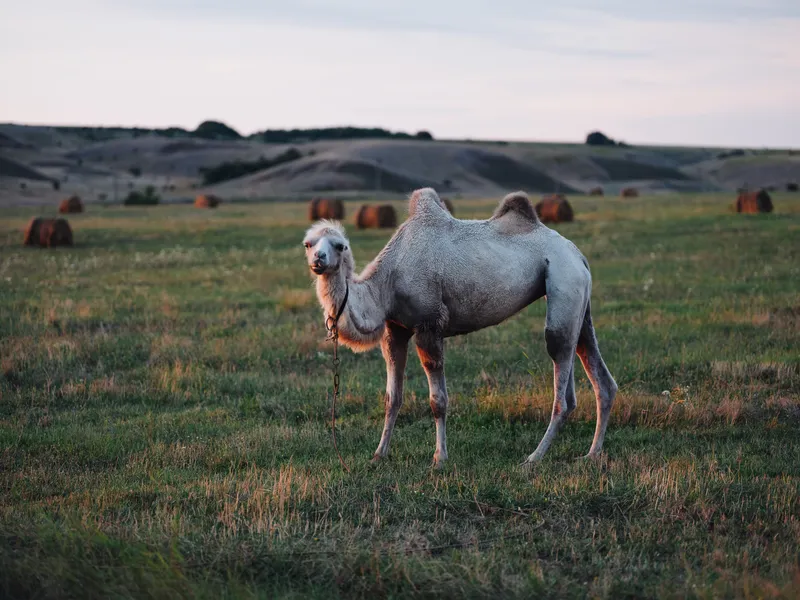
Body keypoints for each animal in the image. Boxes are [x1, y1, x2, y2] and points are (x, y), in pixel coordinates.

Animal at [302, 188, 617, 468]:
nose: (319, 259)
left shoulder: (429, 325)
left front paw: (439, 458)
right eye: (308, 243)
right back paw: (591, 454)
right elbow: (392, 398)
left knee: (562, 387)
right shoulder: (395, 330)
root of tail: (578, 254)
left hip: (563, 282)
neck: (386, 284)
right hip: (579, 304)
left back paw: (533, 458)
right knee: (601, 378)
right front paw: (379, 454)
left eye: (339, 246)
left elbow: (438, 401)